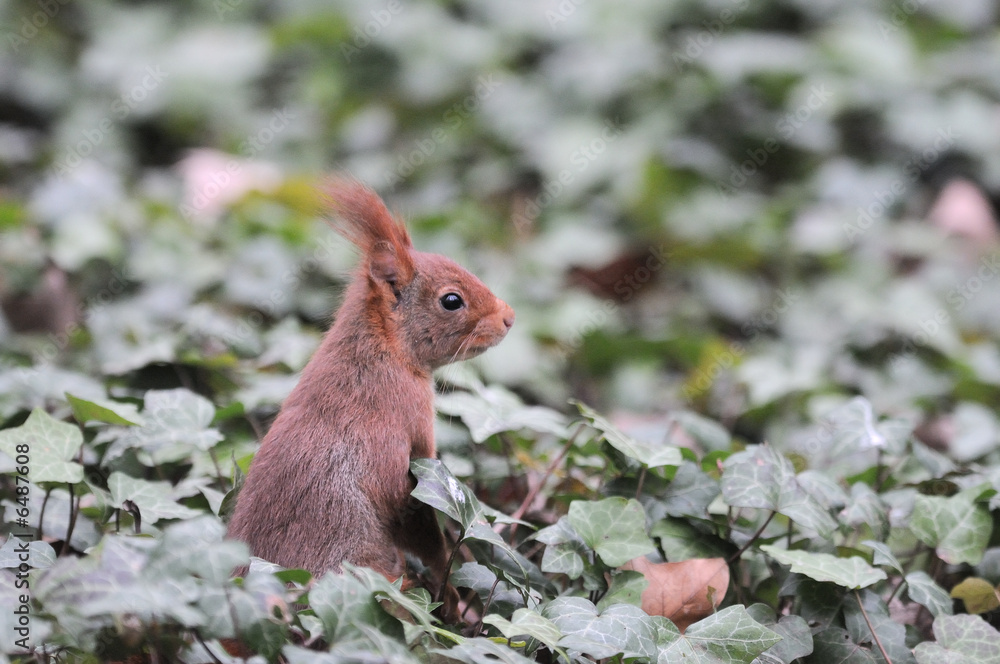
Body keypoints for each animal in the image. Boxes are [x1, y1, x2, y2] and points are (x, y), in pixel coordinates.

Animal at [227, 178, 514, 622]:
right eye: (451, 300)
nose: (508, 317)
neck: (384, 349)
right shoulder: (412, 439)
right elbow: (420, 525)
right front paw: (451, 592)